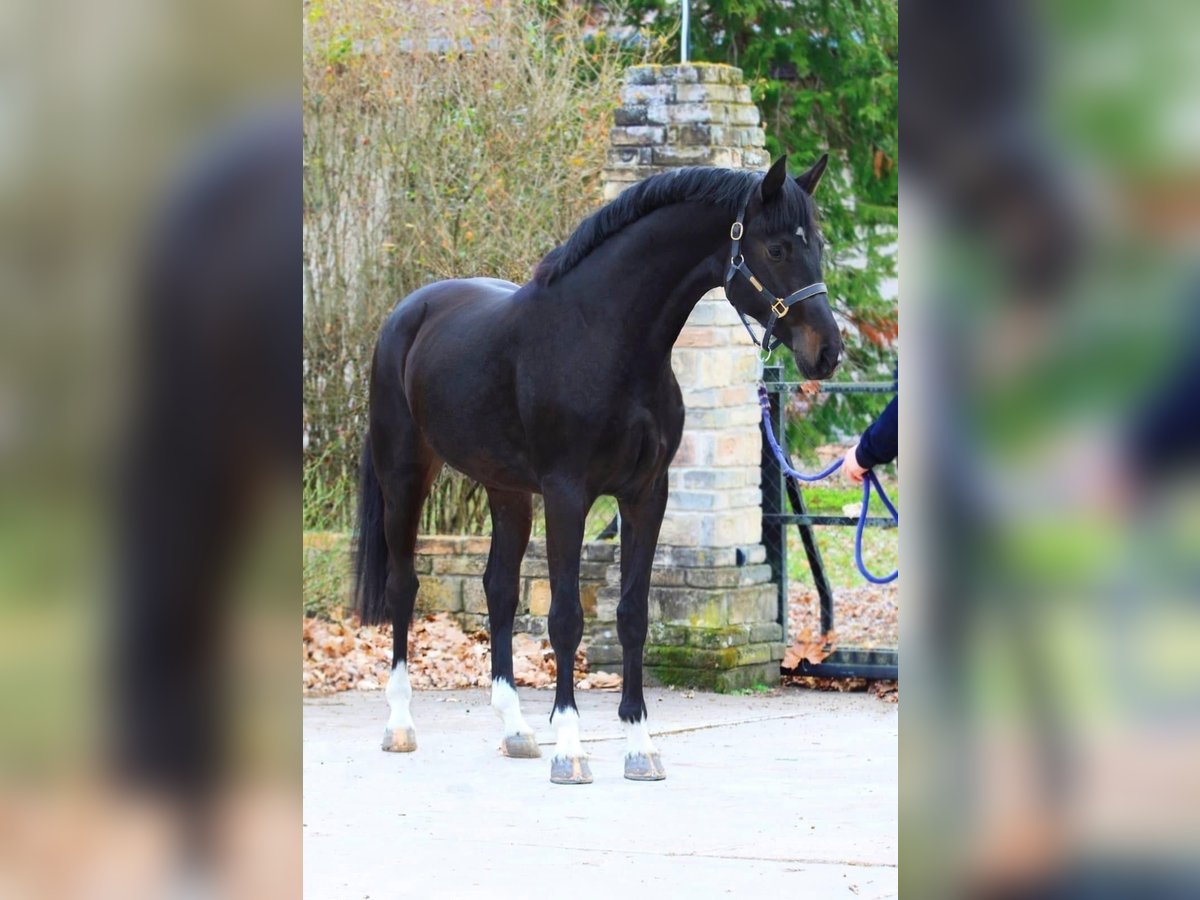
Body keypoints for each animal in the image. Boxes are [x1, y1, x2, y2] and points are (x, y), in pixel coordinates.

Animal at [355, 154, 840, 782]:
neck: (607, 339)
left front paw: (639, 745)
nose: (827, 352)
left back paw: (515, 729)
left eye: (818, 245)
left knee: (498, 590)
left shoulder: (646, 495)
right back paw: (400, 725)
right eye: (777, 248)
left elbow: (632, 614)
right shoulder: (567, 494)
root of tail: (406, 314)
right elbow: (566, 618)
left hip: (506, 490)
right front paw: (570, 748)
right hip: (405, 474)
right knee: (403, 586)